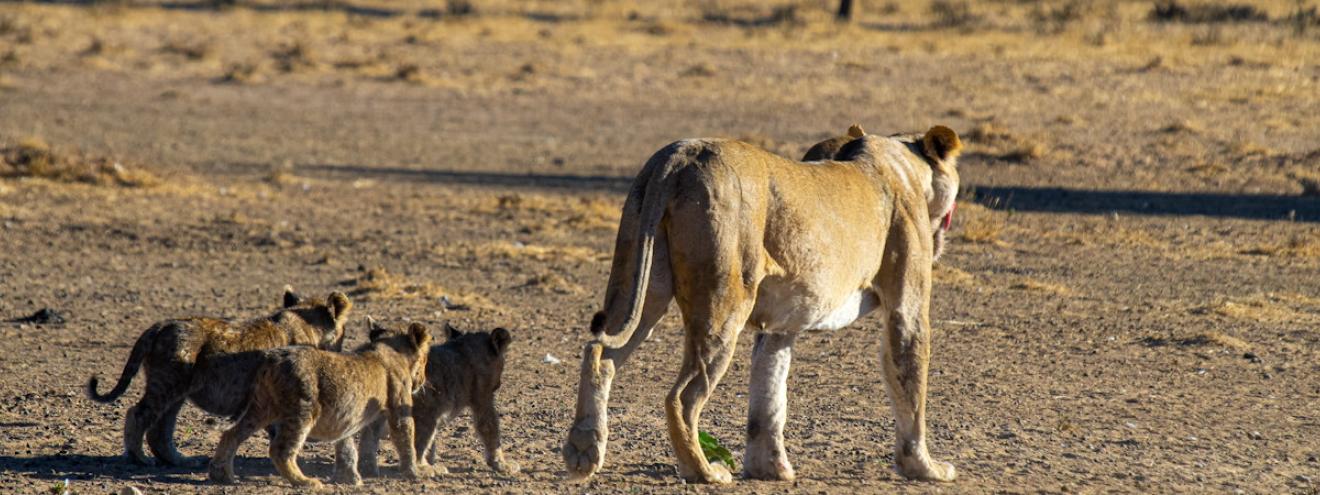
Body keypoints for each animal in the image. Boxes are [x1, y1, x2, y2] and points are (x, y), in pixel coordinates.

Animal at [86, 289, 353, 466]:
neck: (306, 325)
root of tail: (160, 325)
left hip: (177, 390)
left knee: (160, 429)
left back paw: (179, 460)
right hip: (167, 383)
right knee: (138, 414)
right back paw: (139, 458)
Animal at [207, 320, 433, 488]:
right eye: (425, 359)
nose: (422, 380)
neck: (388, 348)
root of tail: (272, 358)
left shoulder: (364, 414)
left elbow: (358, 443)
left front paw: (357, 475)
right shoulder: (398, 407)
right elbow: (406, 439)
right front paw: (414, 472)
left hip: (261, 408)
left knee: (231, 434)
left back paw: (221, 474)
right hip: (303, 410)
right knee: (280, 449)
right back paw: (304, 482)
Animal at [358, 322, 517, 477]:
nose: (499, 384)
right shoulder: (482, 397)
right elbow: (490, 428)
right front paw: (501, 464)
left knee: (368, 436)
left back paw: (368, 469)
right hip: (422, 415)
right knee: (415, 442)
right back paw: (424, 469)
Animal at [562, 125, 963, 484]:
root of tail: (680, 155)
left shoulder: (781, 325)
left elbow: (768, 396)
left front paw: (768, 469)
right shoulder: (906, 307)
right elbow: (911, 386)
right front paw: (925, 468)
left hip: (641, 283)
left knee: (600, 354)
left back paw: (583, 452)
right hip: (724, 303)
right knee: (681, 397)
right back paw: (704, 471)